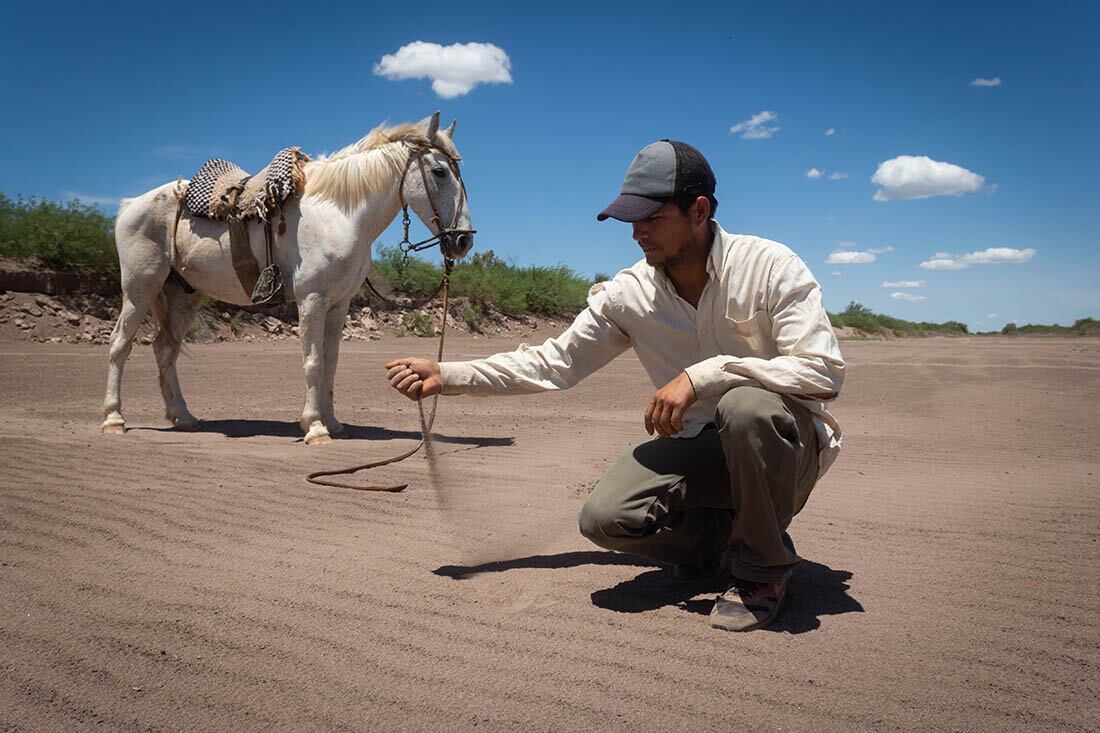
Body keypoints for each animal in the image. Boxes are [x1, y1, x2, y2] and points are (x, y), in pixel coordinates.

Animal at [103, 111, 477, 442]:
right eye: (440, 171)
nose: (463, 240)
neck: (339, 213)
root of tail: (130, 205)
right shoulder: (312, 299)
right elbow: (312, 362)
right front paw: (314, 428)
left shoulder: (338, 305)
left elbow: (330, 362)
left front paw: (333, 422)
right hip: (139, 287)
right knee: (120, 344)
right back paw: (114, 419)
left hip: (183, 294)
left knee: (165, 349)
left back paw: (183, 417)